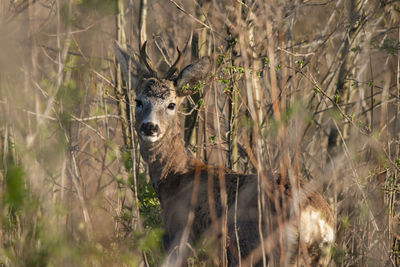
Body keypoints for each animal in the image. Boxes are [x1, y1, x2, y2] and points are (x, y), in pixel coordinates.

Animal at [113, 39, 334, 267]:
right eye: (138, 101)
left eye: (171, 104)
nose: (150, 127)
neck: (176, 176)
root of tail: (317, 220)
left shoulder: (179, 237)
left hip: (271, 250)